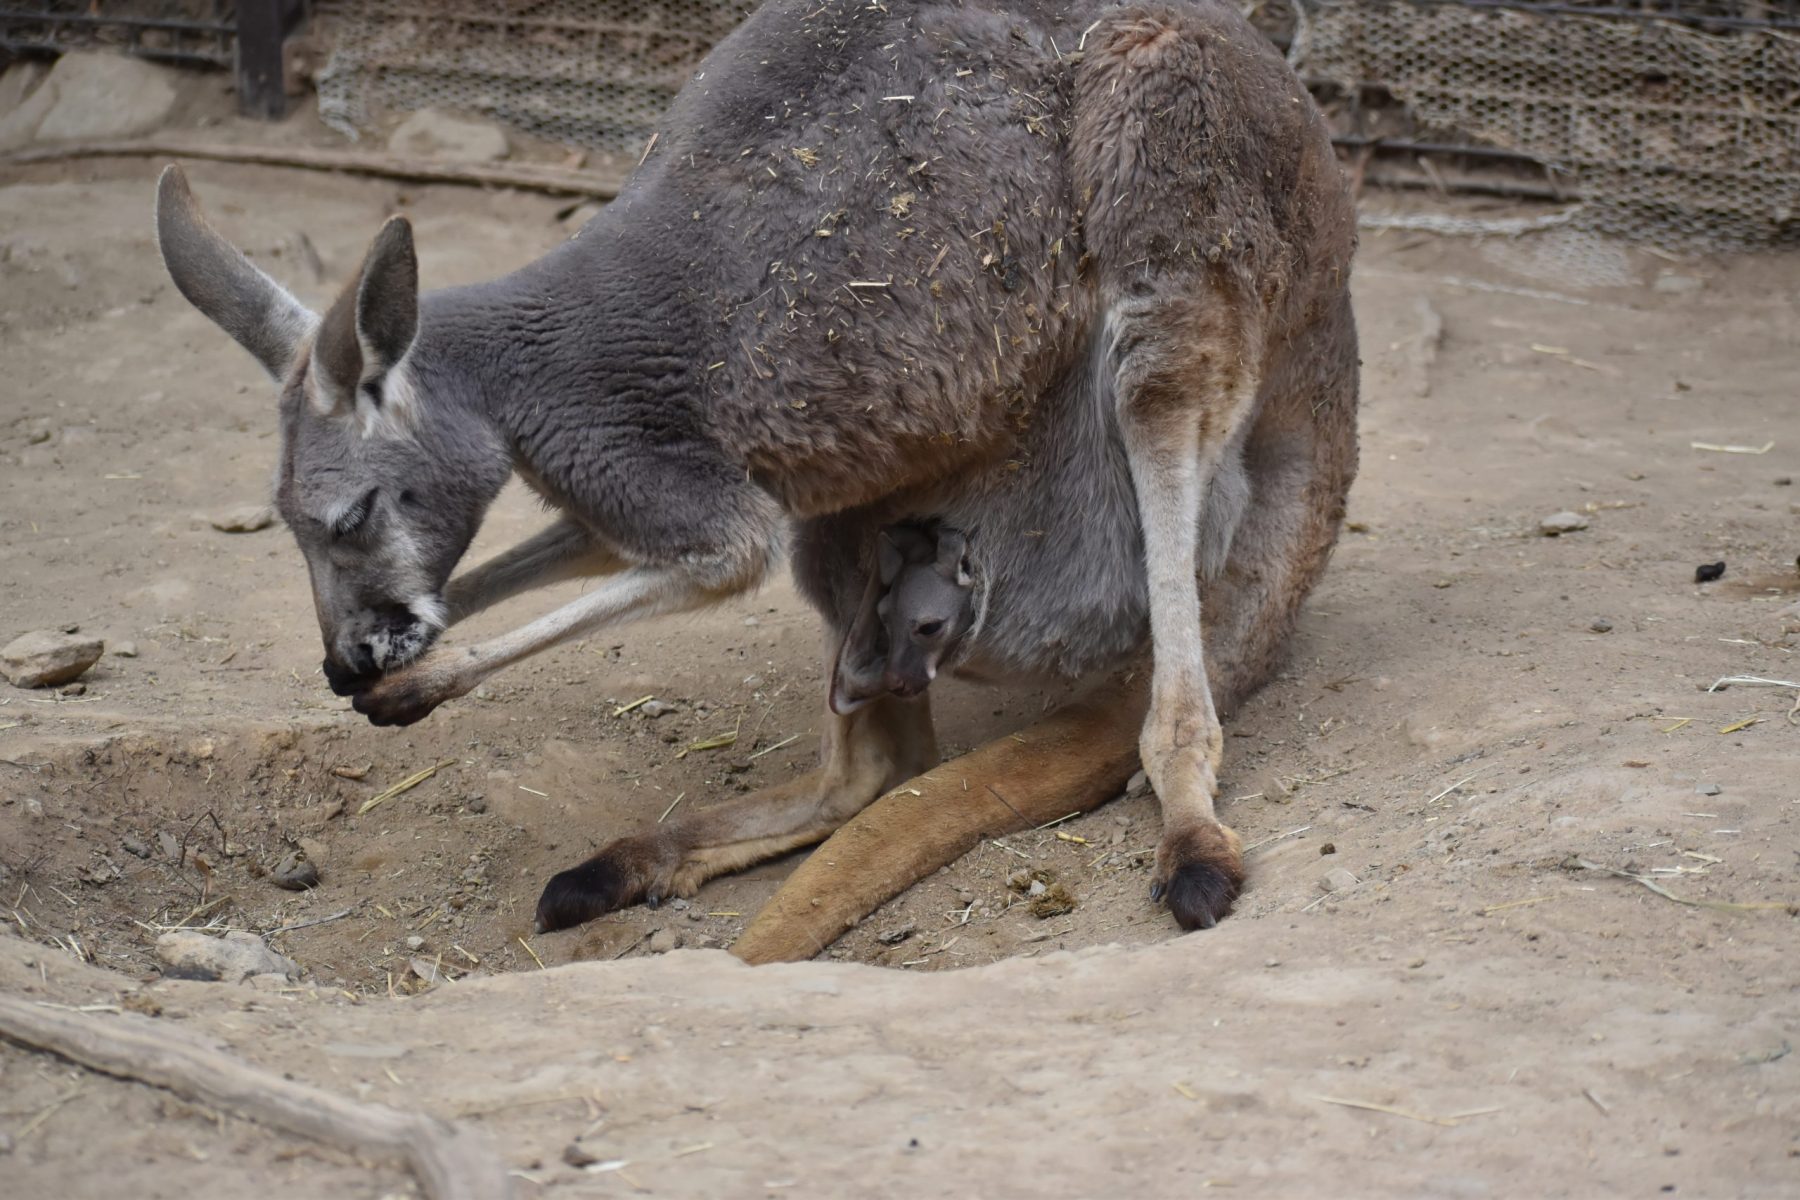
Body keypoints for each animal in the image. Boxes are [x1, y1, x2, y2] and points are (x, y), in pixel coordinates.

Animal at [154, 0, 1359, 940]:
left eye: (351, 516)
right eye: (293, 529)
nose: (348, 659)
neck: (511, 382)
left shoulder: (652, 464)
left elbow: (720, 560)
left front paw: (419, 685)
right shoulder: (612, 487)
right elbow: (553, 558)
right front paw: (391, 662)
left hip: (1173, 198)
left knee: (1162, 439)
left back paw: (1193, 840)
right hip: (863, 520)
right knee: (873, 769)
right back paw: (625, 864)